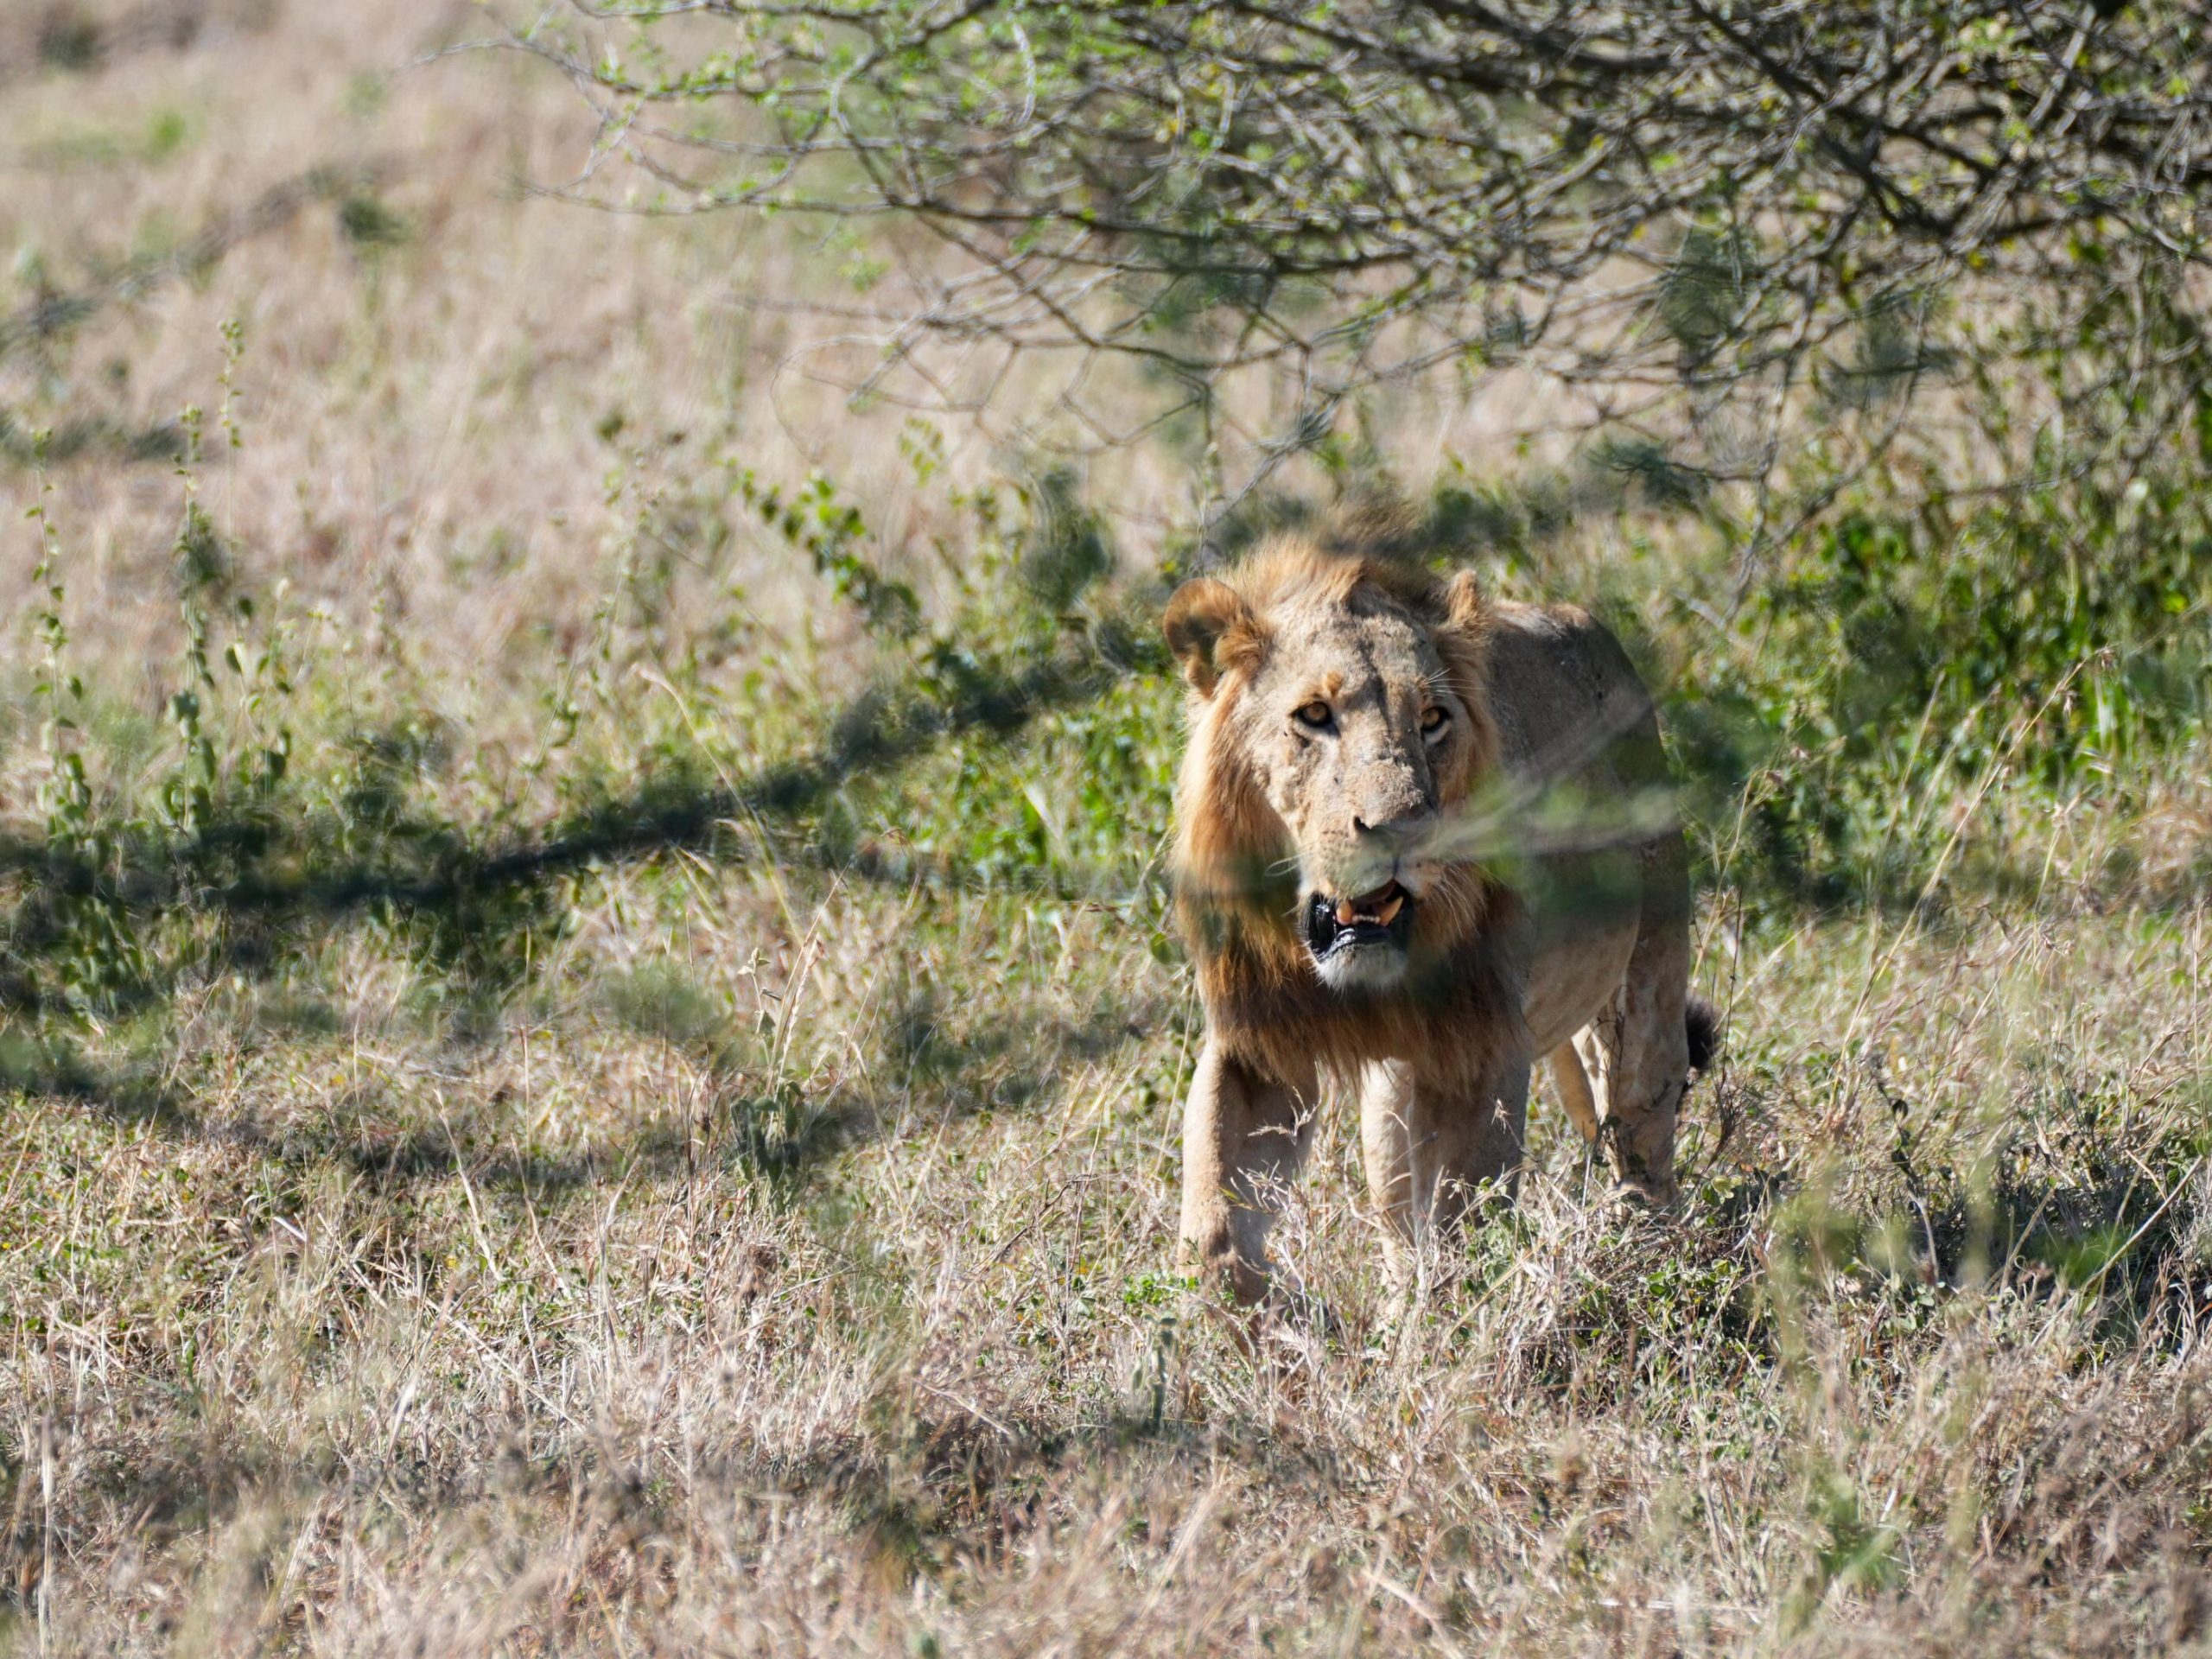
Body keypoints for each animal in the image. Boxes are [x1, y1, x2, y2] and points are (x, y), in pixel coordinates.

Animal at [1164, 527, 1719, 1304]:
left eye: (1432, 720)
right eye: (1314, 716)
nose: (1402, 830)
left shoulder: (1482, 1045)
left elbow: (1465, 1238)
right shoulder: (1256, 1043)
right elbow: (1214, 1242)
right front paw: (1296, 1320)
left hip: (1646, 994)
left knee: (1644, 1147)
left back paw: (1655, 1275)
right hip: (1393, 1098)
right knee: (1399, 1219)